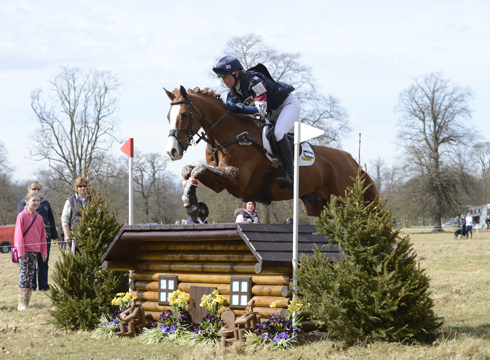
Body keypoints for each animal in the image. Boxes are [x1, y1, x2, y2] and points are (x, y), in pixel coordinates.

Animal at [165, 86, 378, 218]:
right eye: (168, 116)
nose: (172, 151)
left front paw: (191, 203)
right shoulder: (221, 183)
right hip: (318, 205)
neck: (229, 135)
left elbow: (198, 169)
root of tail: (352, 161)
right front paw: (194, 204)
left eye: (184, 114)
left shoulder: (238, 180)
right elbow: (190, 169)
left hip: (348, 202)